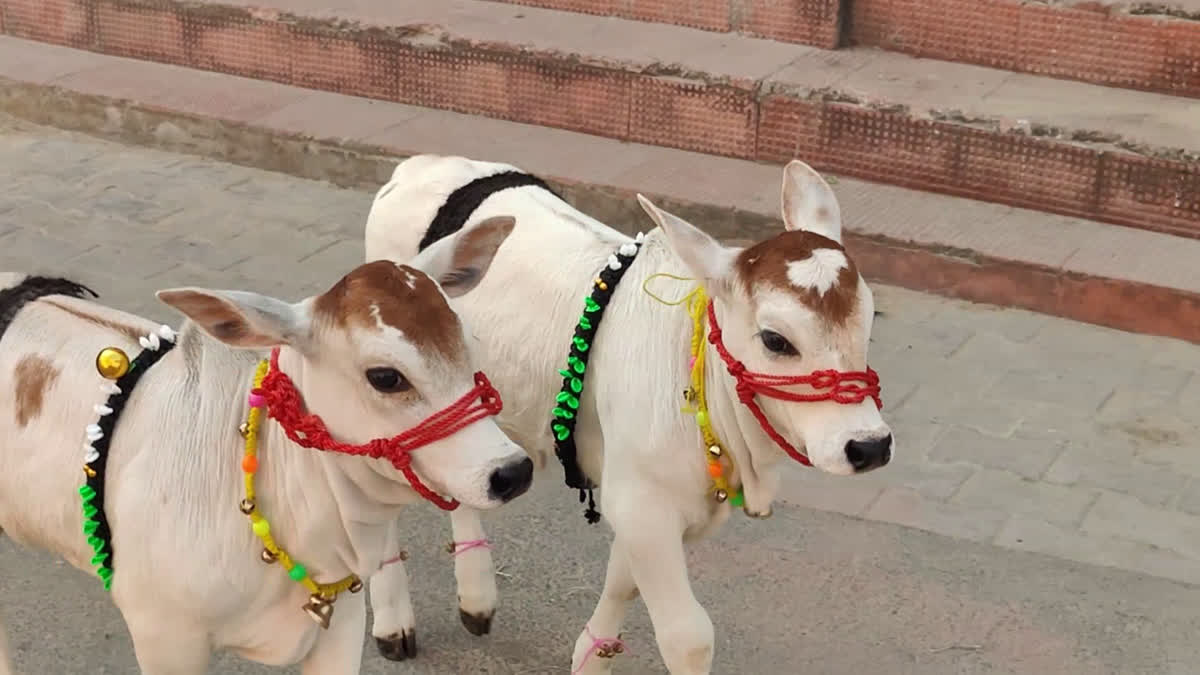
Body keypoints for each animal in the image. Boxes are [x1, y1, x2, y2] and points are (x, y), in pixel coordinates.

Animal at [363, 156, 894, 673]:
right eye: (775, 340)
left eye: (866, 323)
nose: (868, 445)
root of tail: (416, 166)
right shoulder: (642, 502)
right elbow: (688, 638)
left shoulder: (648, 500)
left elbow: (623, 581)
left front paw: (589, 655)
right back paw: (394, 624)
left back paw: (475, 598)